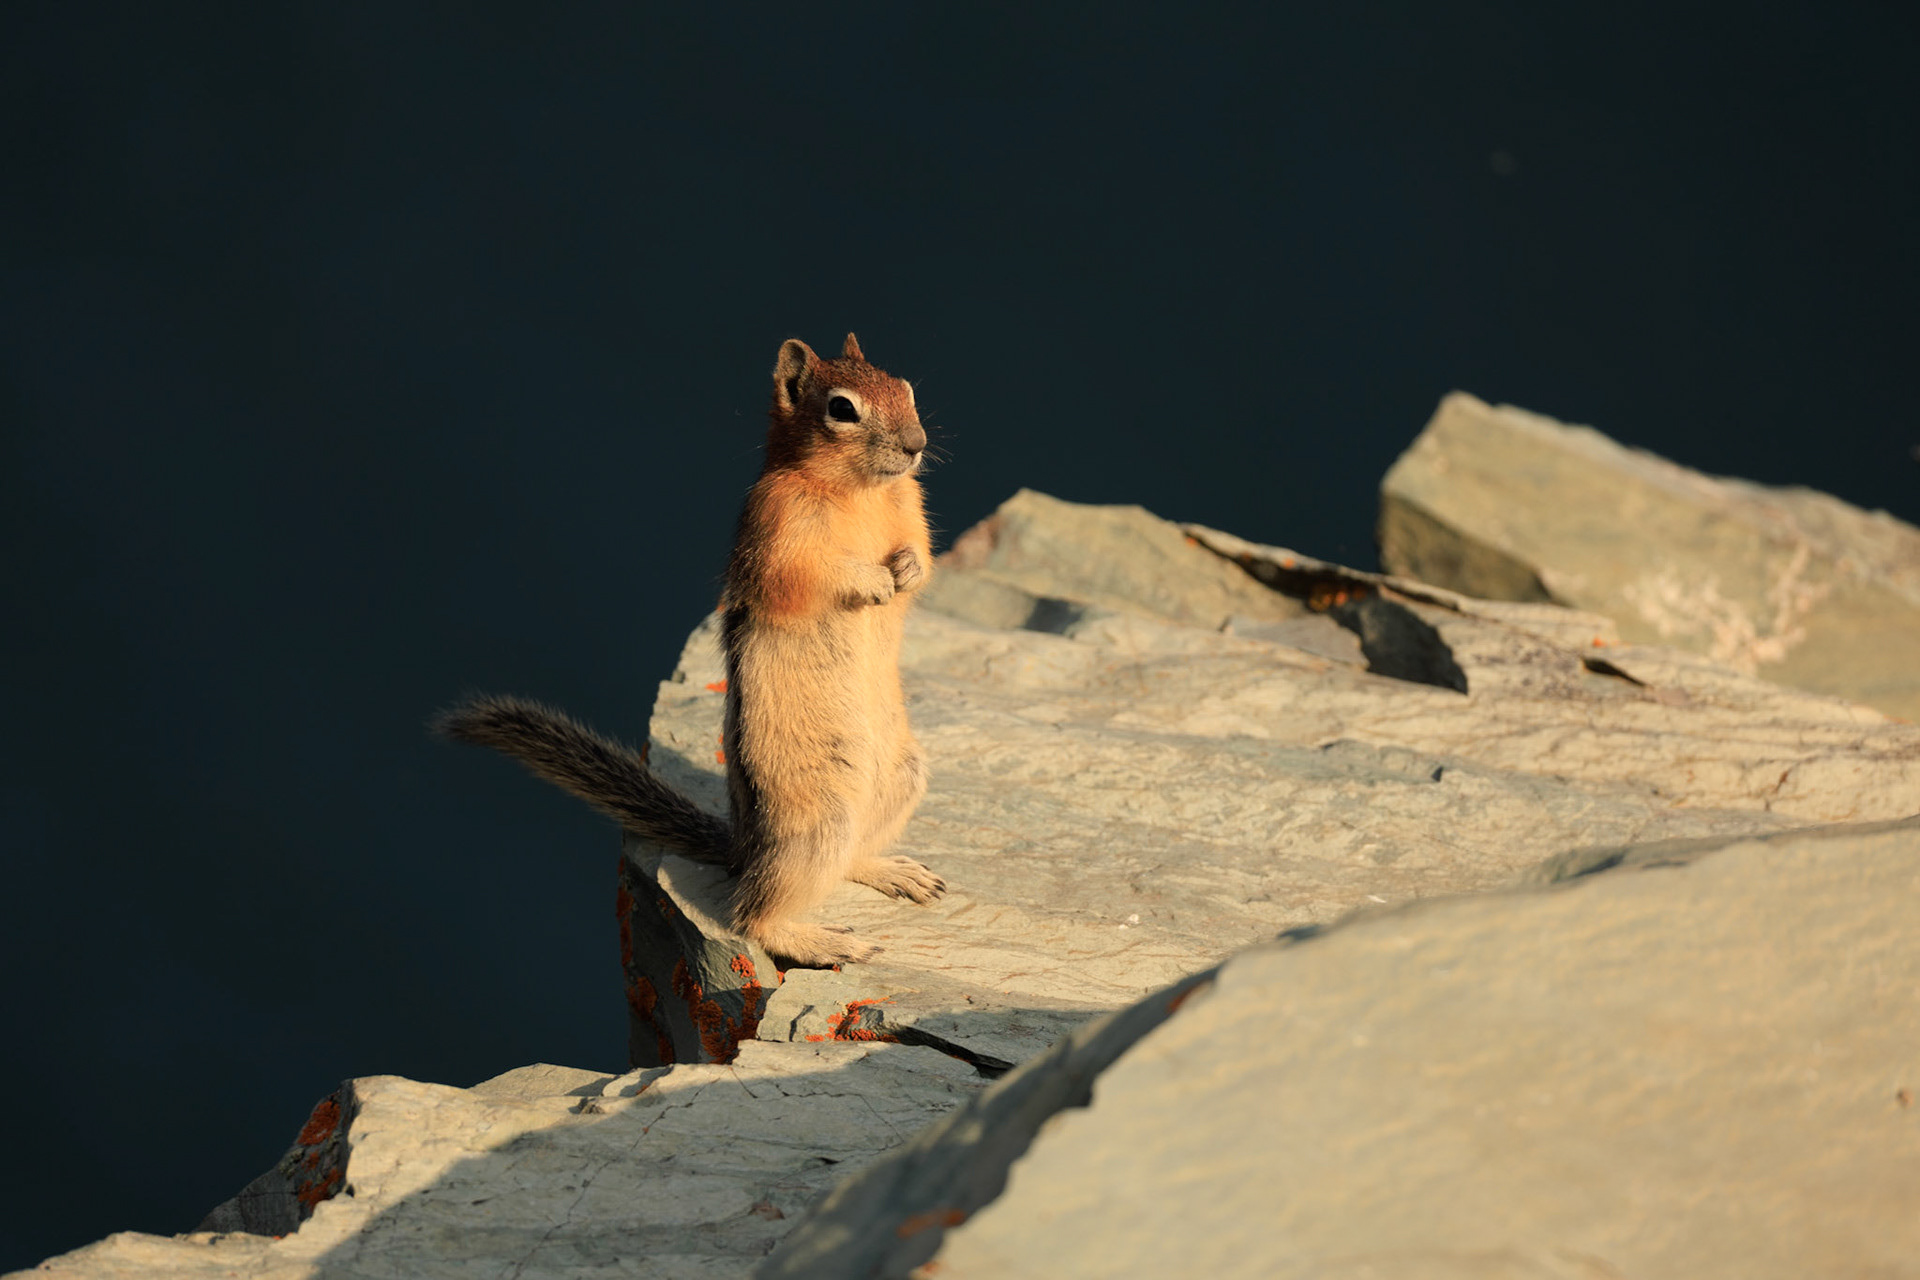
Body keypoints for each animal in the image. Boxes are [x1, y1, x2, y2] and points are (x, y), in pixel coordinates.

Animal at [436, 333, 944, 966]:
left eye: (906, 389)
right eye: (842, 409)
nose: (916, 444)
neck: (861, 493)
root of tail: (742, 849)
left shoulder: (910, 511)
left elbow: (922, 560)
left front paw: (905, 570)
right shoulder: (776, 536)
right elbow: (808, 577)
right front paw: (873, 581)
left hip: (901, 779)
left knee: (848, 860)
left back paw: (895, 872)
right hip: (817, 822)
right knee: (753, 916)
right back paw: (822, 940)